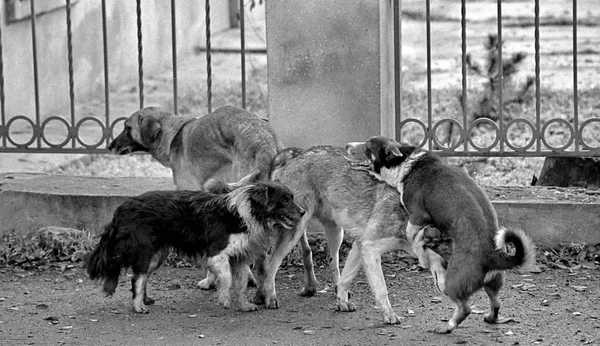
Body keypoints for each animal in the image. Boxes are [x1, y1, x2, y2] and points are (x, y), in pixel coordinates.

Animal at [84, 181, 304, 314]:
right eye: (284, 200)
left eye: (292, 198)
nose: (303, 212)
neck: (247, 214)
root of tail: (120, 209)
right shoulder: (217, 254)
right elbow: (227, 278)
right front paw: (224, 299)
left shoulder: (240, 258)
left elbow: (241, 285)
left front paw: (243, 305)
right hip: (147, 252)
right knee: (137, 278)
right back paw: (138, 306)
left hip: (157, 255)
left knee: (140, 277)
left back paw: (144, 300)